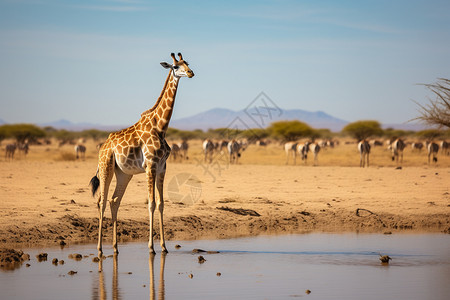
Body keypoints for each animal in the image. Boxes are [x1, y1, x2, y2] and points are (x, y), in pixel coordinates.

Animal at [89, 52, 193, 256]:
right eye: (176, 66)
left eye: (187, 63)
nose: (191, 73)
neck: (161, 127)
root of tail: (103, 146)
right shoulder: (150, 166)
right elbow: (151, 203)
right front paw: (151, 247)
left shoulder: (162, 167)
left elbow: (161, 203)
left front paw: (164, 246)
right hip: (106, 167)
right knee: (101, 202)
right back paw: (99, 249)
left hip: (124, 174)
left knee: (114, 201)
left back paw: (115, 248)